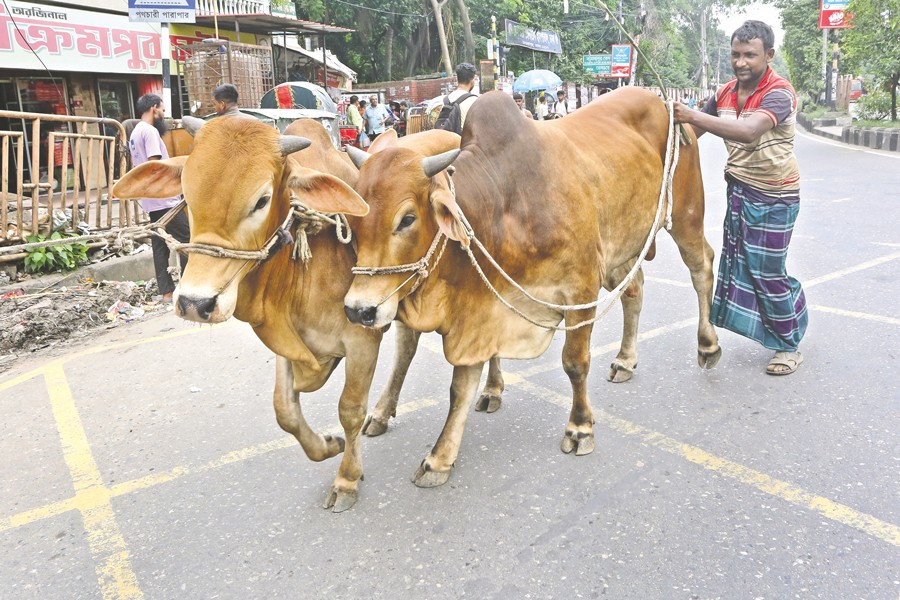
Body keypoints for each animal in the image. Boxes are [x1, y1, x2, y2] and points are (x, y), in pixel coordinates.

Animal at [112, 117, 457, 511]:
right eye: (187, 192)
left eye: (261, 200)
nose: (194, 303)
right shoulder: (286, 338)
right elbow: (285, 411)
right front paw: (327, 446)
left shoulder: (362, 337)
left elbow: (349, 409)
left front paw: (346, 479)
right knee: (408, 346)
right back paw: (383, 414)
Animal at [343, 88, 721, 488]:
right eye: (355, 222)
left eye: (407, 219)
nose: (358, 309)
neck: (506, 205)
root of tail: (664, 102)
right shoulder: (481, 312)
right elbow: (460, 387)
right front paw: (440, 459)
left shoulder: (580, 289)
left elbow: (575, 362)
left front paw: (580, 427)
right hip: (623, 245)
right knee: (634, 291)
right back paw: (625, 359)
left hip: (686, 214)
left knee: (702, 266)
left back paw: (708, 344)